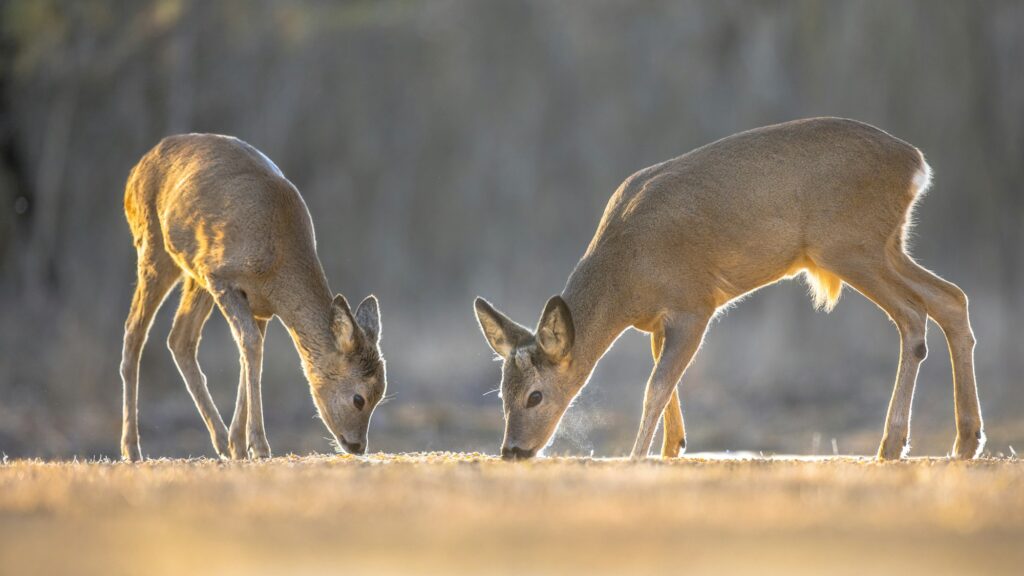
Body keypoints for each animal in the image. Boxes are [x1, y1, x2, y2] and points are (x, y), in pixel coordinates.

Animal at [120, 134, 386, 461]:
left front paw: (239, 444)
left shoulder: (260, 304)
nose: (358, 446)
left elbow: (251, 350)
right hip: (154, 246)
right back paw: (131, 448)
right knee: (134, 332)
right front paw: (258, 446)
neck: (277, 263)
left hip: (194, 272)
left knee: (179, 338)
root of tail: (135, 171)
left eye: (380, 396)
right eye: (359, 398)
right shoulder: (222, 277)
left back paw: (221, 441)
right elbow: (250, 344)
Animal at [474, 117, 984, 461]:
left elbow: (656, 384)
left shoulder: (694, 302)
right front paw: (673, 447)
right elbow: (666, 383)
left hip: (850, 246)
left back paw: (893, 444)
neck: (626, 278)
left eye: (535, 396)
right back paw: (964, 441)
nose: (512, 450)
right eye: (500, 394)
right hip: (885, 245)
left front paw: (637, 456)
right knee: (951, 299)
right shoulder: (658, 322)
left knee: (914, 315)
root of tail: (916, 163)